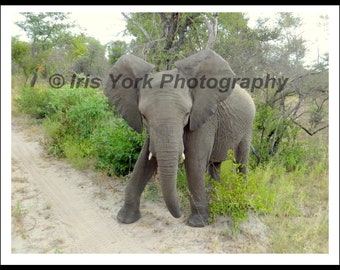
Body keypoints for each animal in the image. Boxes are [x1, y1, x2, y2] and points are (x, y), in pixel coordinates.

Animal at [103, 48, 255, 228]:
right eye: (144, 116)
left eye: (187, 114)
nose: (180, 213)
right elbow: (145, 161)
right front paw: (125, 219)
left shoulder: (204, 119)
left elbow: (194, 161)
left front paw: (197, 223)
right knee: (215, 164)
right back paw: (216, 191)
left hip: (248, 126)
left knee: (241, 160)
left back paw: (241, 195)